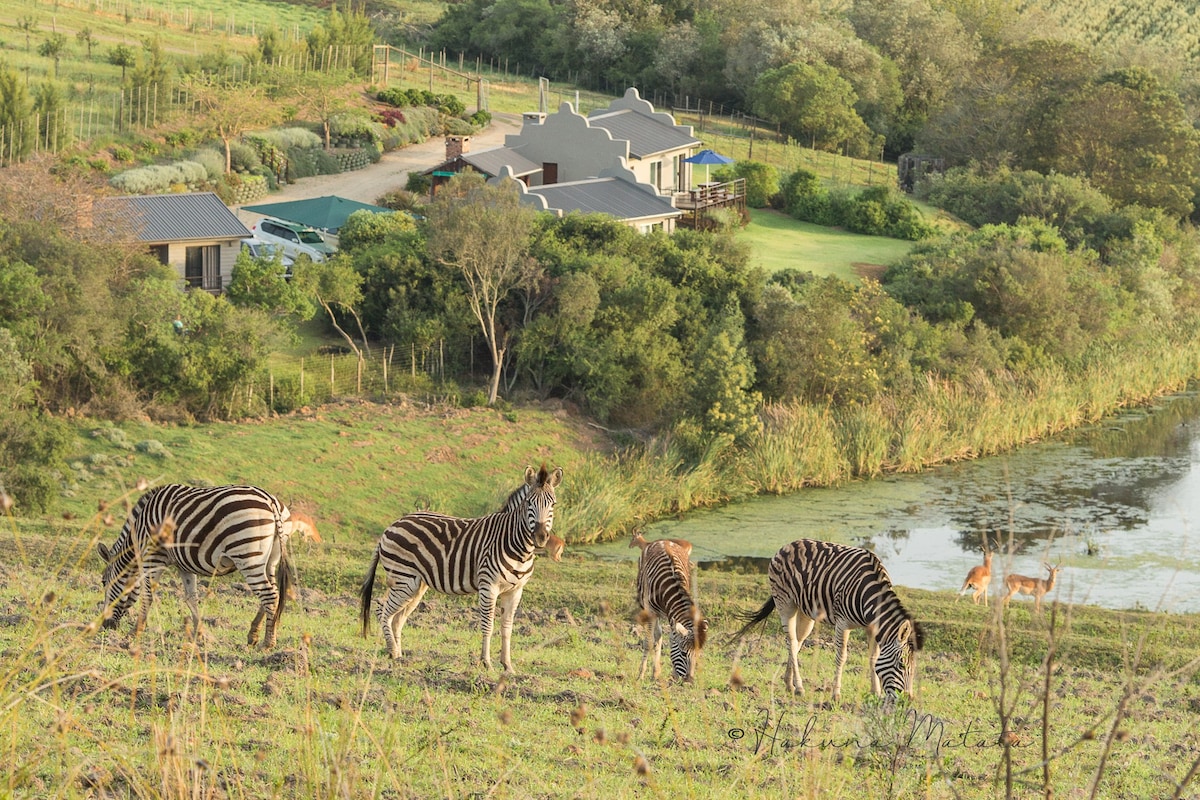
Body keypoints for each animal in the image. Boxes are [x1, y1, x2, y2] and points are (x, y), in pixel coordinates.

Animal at [94, 484, 296, 647]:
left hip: (247, 556)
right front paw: (201, 635)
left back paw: (267, 643)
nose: (105, 626)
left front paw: (134, 633)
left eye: (103, 582)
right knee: (274, 592)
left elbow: (147, 595)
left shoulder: (154, 556)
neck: (139, 535)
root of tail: (271, 501)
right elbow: (191, 598)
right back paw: (253, 635)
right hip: (270, 559)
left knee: (269, 595)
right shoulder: (184, 565)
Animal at [357, 465, 564, 671]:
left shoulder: (515, 591)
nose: (540, 537)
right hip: (403, 579)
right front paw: (486, 663)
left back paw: (400, 657)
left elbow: (507, 628)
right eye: (529, 503)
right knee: (383, 609)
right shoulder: (488, 586)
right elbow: (488, 625)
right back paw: (392, 651)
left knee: (398, 618)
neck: (516, 545)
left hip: (416, 585)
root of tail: (393, 525)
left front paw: (508, 667)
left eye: (553, 505)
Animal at [633, 532, 705, 681]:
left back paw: (656, 672)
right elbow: (648, 642)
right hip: (646, 606)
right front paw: (641, 674)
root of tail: (663, 541)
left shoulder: (673, 615)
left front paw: (674, 674)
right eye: (683, 653)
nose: (689, 681)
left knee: (660, 635)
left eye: (697, 654)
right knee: (656, 635)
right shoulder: (651, 611)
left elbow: (672, 639)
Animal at [729, 537, 916, 700]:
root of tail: (787, 545)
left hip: (805, 612)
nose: (908, 699)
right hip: (785, 603)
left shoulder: (873, 627)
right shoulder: (842, 623)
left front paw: (875, 692)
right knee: (791, 642)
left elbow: (873, 657)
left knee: (796, 642)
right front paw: (836, 694)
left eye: (913, 668)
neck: (869, 597)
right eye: (901, 665)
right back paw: (799, 687)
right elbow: (841, 657)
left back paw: (789, 684)